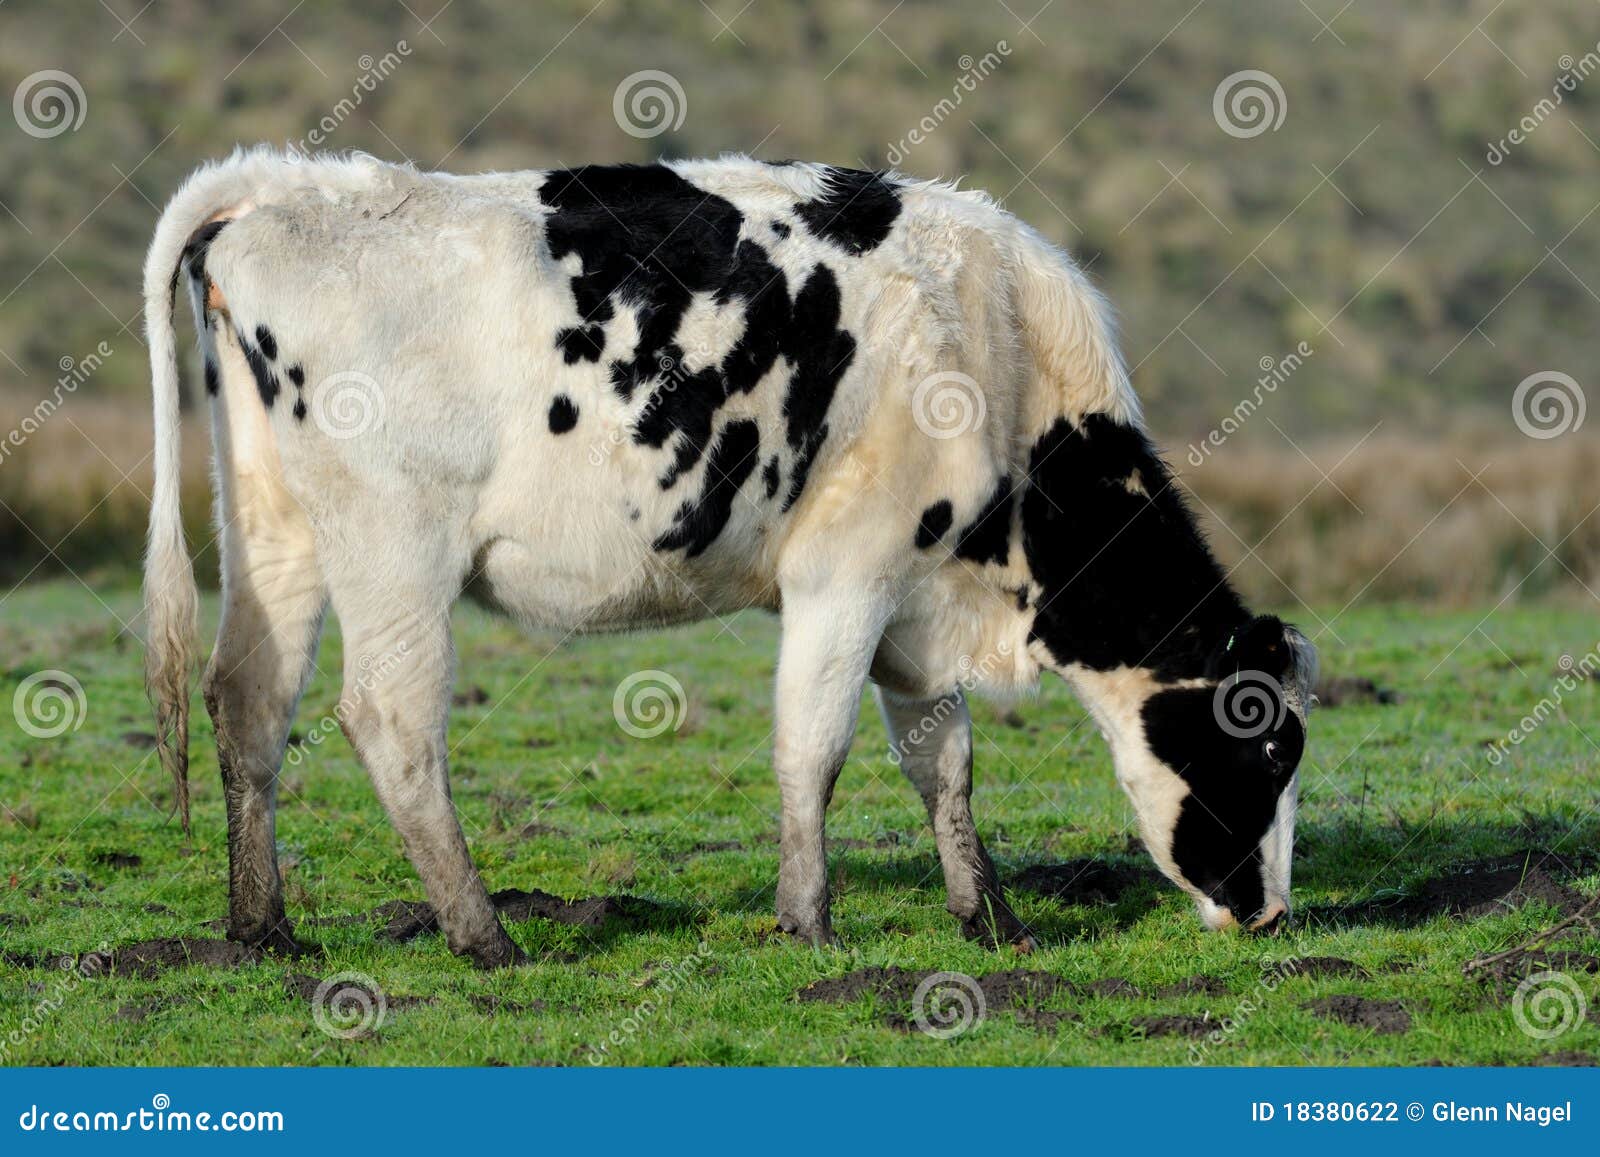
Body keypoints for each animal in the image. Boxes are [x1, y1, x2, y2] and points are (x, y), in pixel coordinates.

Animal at [141, 148, 1317, 968]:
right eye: (1268, 748)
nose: (1268, 912)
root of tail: (288, 188)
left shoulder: (914, 594)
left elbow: (943, 762)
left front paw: (990, 917)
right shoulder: (845, 573)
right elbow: (815, 747)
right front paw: (810, 922)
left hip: (275, 536)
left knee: (248, 700)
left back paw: (263, 928)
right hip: (396, 553)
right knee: (390, 719)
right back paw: (483, 935)